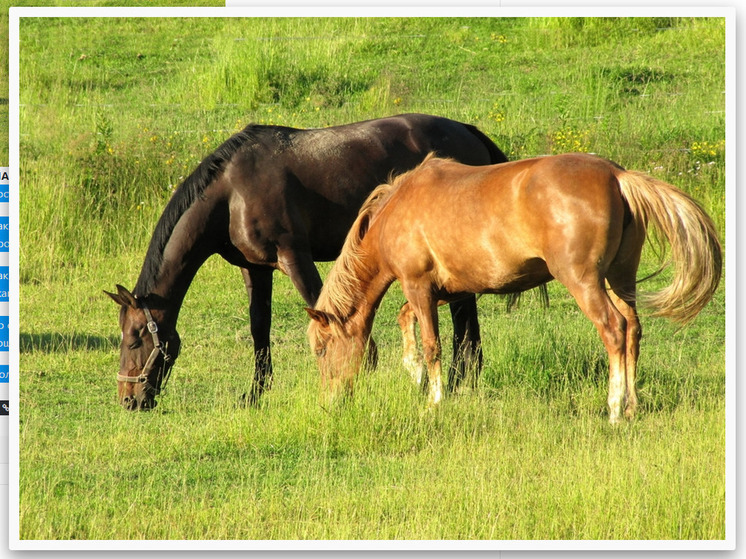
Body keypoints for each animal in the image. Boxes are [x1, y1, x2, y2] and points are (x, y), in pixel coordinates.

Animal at [103, 114, 506, 412]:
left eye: (135, 339)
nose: (128, 400)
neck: (232, 192)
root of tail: (467, 130)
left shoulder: (294, 256)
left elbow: (322, 310)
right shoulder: (255, 268)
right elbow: (259, 327)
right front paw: (256, 392)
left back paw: (457, 380)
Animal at [306, 153, 716, 424]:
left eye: (323, 349)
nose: (330, 403)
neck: (396, 210)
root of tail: (617, 176)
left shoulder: (418, 286)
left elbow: (432, 345)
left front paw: (434, 401)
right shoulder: (444, 292)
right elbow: (407, 323)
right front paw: (415, 374)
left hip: (584, 282)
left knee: (613, 330)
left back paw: (615, 409)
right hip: (620, 279)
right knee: (632, 330)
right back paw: (631, 406)